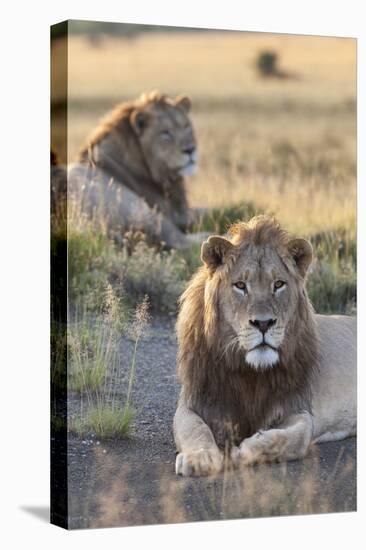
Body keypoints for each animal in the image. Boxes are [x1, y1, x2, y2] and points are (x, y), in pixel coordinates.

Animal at [68, 91, 200, 250]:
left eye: (186, 126)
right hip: (143, 210)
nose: (190, 149)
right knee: (183, 242)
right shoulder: (176, 215)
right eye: (165, 133)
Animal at [173, 216, 356, 478]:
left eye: (278, 284)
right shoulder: (193, 402)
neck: (249, 372)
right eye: (240, 285)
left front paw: (241, 452)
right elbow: (195, 429)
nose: (263, 323)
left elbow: (288, 439)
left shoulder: (299, 409)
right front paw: (200, 458)